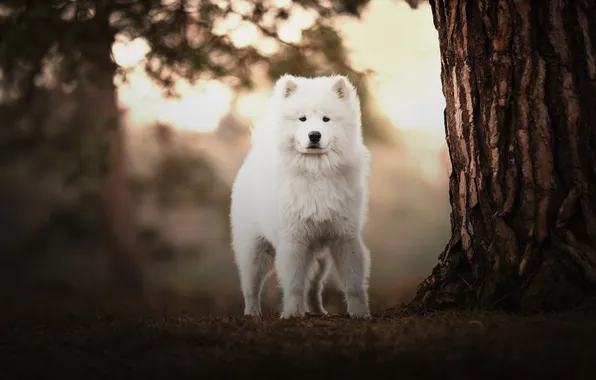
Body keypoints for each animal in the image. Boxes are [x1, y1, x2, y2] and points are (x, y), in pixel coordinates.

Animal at [230, 73, 370, 318]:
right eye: (302, 119)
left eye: (326, 119)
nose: (314, 135)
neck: (316, 172)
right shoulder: (294, 240)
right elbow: (294, 284)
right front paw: (292, 313)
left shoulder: (344, 236)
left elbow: (353, 283)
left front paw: (360, 313)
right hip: (255, 250)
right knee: (251, 285)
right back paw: (252, 312)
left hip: (320, 259)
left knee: (314, 287)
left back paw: (317, 311)